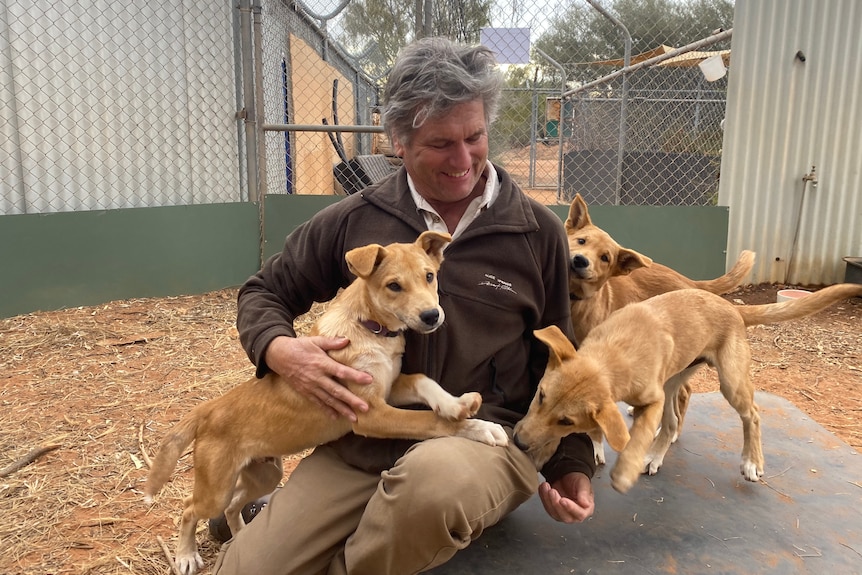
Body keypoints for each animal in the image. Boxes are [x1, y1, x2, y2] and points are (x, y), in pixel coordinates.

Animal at [145, 231, 510, 575]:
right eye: (394, 286)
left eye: (430, 276)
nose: (432, 316)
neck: (370, 329)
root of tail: (208, 409)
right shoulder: (370, 413)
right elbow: (428, 422)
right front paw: (480, 427)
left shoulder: (390, 388)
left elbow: (425, 380)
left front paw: (456, 403)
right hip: (216, 487)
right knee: (190, 507)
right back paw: (186, 556)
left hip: (265, 474)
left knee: (234, 507)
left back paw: (240, 535)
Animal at [516, 284, 860, 496]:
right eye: (541, 396)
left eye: (567, 421)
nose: (518, 442)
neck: (613, 354)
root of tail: (731, 307)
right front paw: (544, 450)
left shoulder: (651, 399)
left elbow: (636, 436)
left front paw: (625, 470)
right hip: (673, 381)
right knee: (671, 423)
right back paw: (657, 454)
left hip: (729, 381)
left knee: (752, 413)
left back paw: (752, 462)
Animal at [568, 196, 756, 466]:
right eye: (581, 241)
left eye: (605, 257)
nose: (580, 261)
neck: (574, 301)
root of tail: (689, 282)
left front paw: (596, 447)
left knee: (685, 393)